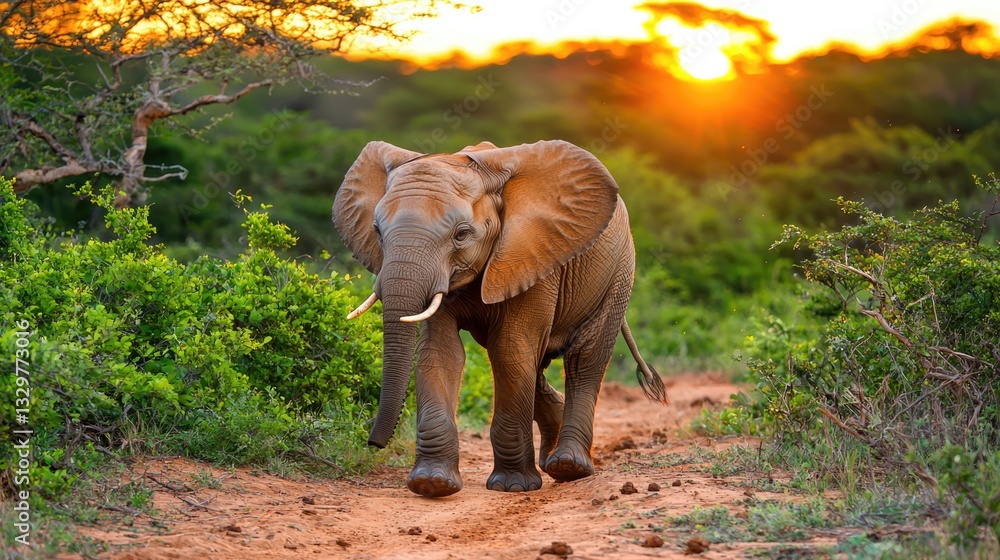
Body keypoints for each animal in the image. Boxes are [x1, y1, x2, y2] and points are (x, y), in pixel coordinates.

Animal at [332, 139, 668, 498]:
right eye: (378, 232)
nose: (373, 444)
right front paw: (432, 484)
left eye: (461, 234)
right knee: (536, 365)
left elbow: (509, 350)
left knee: (584, 359)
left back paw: (569, 467)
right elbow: (441, 352)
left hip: (619, 271)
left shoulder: (532, 254)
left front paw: (513, 486)